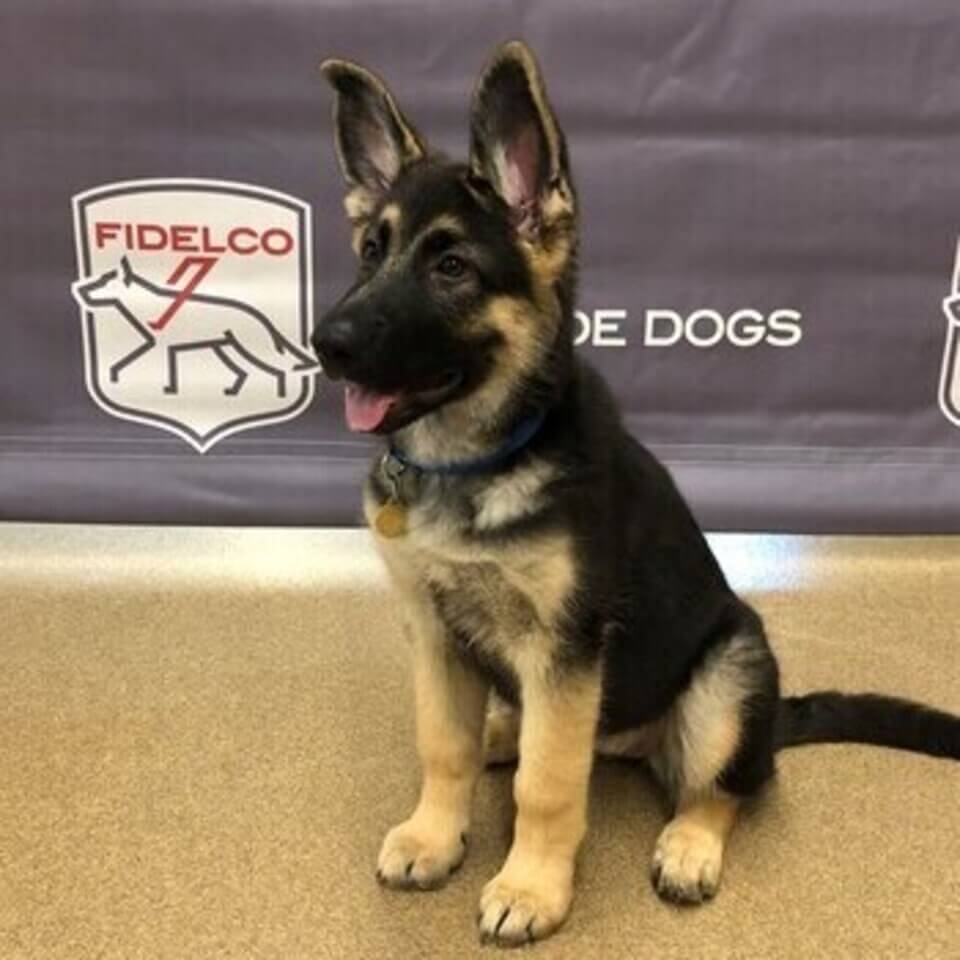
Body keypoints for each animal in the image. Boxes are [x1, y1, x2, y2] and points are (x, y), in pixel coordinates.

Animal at [316, 39, 960, 944]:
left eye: (451, 267)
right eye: (371, 251)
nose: (324, 343)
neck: (476, 460)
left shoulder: (566, 648)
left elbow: (549, 786)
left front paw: (531, 887)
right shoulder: (435, 633)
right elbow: (442, 747)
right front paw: (435, 836)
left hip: (728, 673)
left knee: (727, 784)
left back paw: (689, 842)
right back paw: (502, 728)